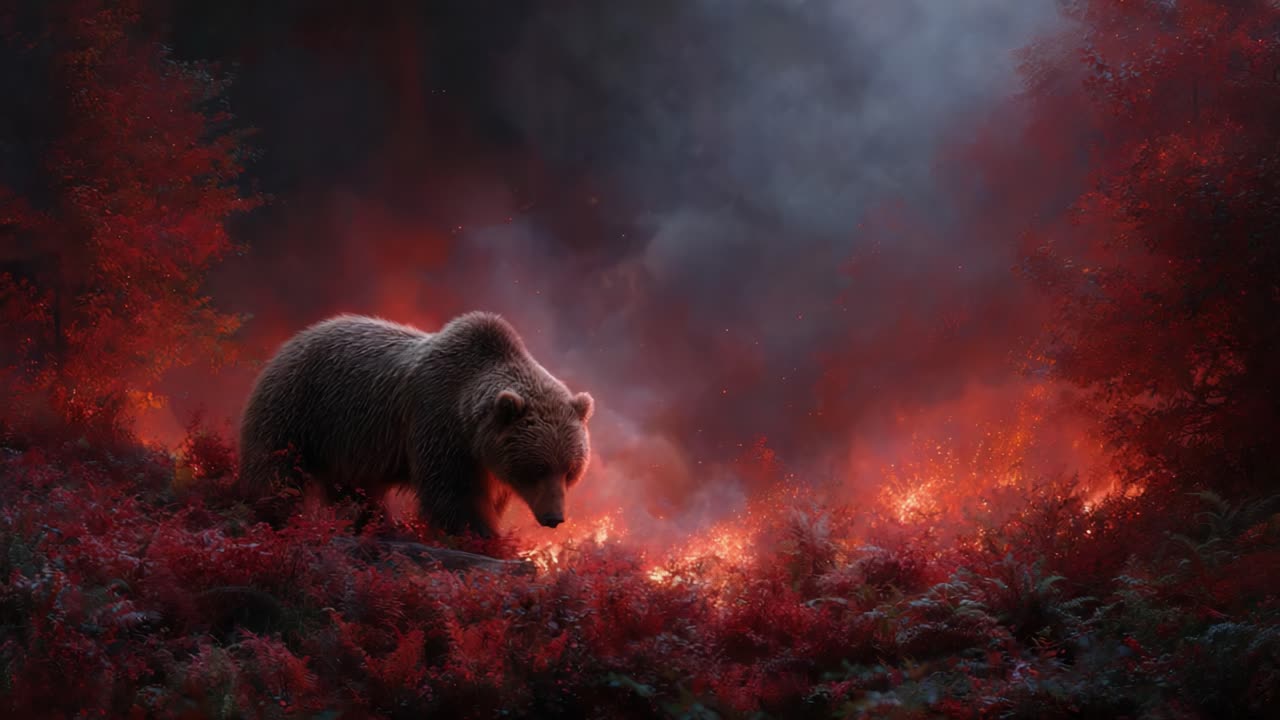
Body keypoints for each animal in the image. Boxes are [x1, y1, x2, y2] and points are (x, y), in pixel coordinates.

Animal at [237, 311, 594, 538]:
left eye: (570, 470)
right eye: (537, 467)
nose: (554, 518)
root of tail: (294, 340)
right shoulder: (436, 420)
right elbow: (452, 491)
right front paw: (482, 534)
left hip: (347, 441)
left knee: (353, 487)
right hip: (300, 408)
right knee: (277, 468)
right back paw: (272, 511)